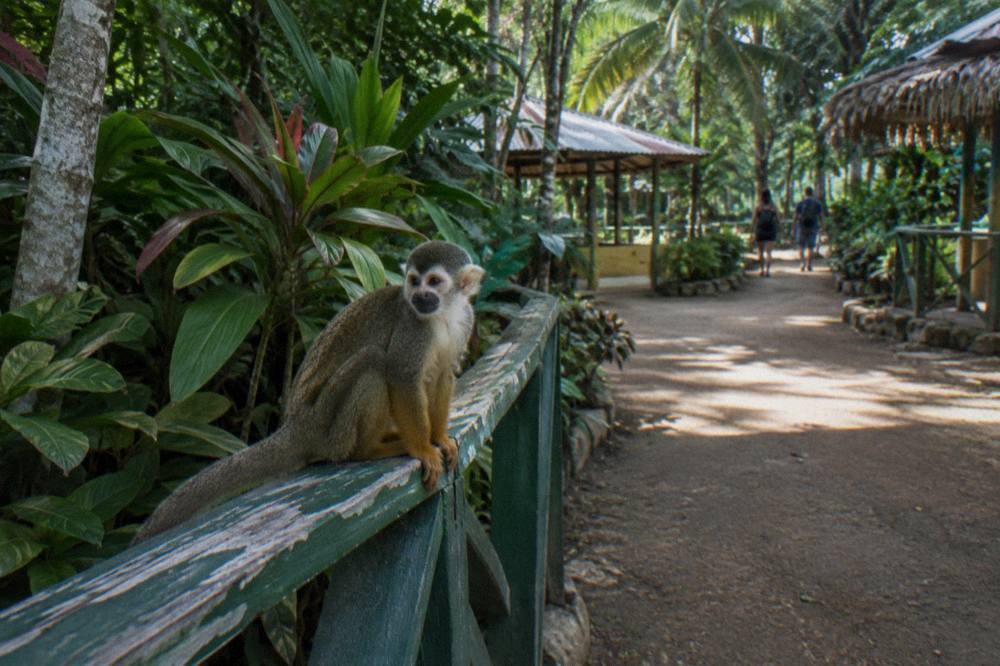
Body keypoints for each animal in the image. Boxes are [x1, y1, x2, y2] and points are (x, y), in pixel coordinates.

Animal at [133, 241, 484, 543]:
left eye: (434, 281)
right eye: (414, 281)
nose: (420, 295)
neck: (443, 315)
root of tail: (296, 428)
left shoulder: (466, 319)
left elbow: (442, 377)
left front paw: (439, 438)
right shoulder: (412, 326)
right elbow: (402, 377)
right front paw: (423, 448)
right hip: (326, 422)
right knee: (373, 362)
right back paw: (367, 450)